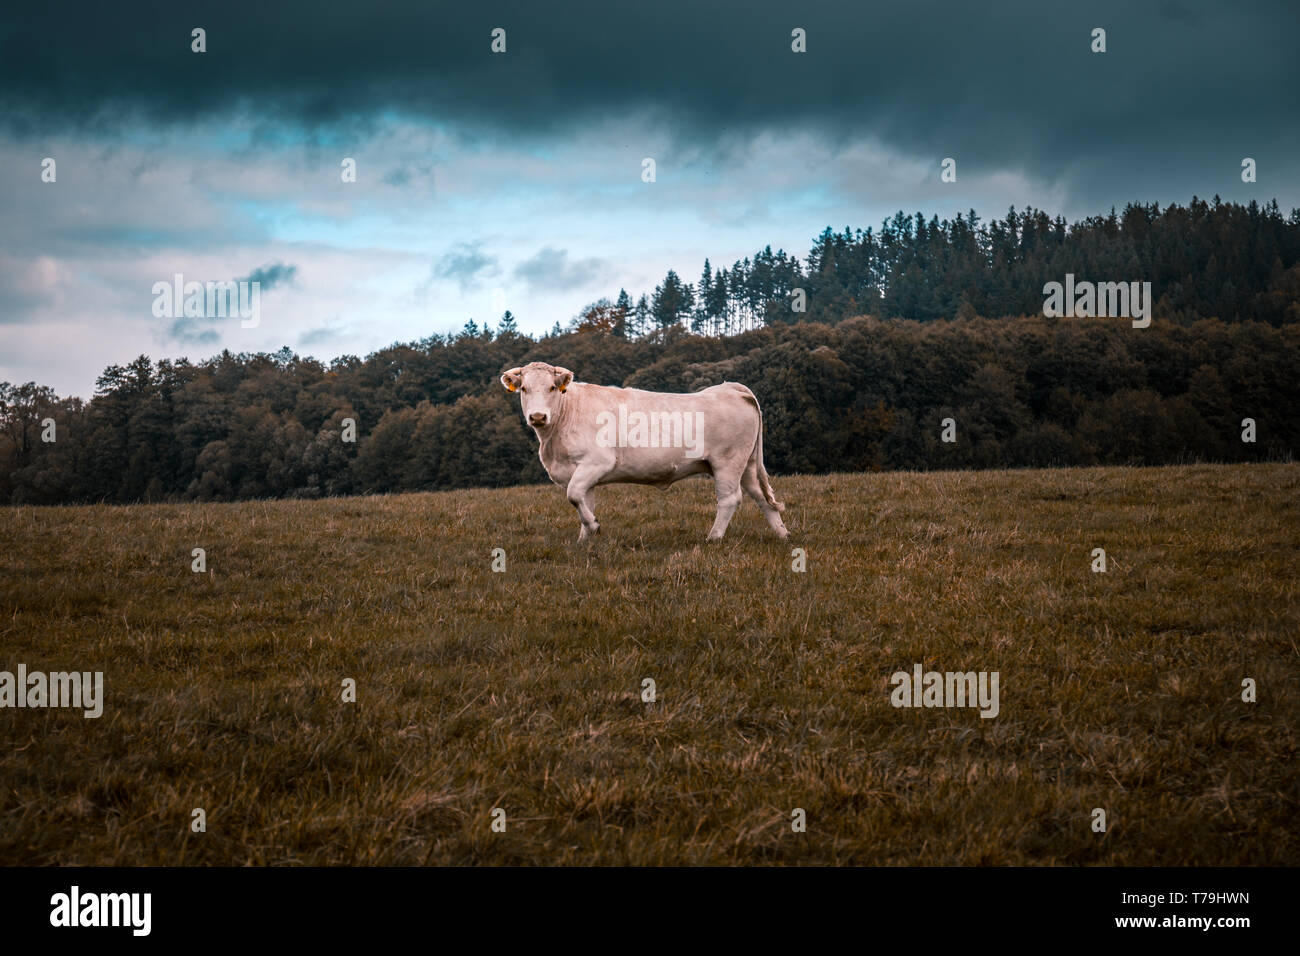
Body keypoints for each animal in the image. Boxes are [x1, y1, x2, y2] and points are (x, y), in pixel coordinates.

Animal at [501, 362, 789, 541]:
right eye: (524, 389)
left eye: (552, 387)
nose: (538, 416)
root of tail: (729, 388)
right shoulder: (580, 471)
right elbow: (583, 501)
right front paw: (585, 539)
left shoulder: (598, 461)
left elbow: (573, 495)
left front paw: (593, 526)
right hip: (746, 463)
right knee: (761, 496)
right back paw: (783, 534)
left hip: (727, 461)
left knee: (730, 499)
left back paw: (714, 537)